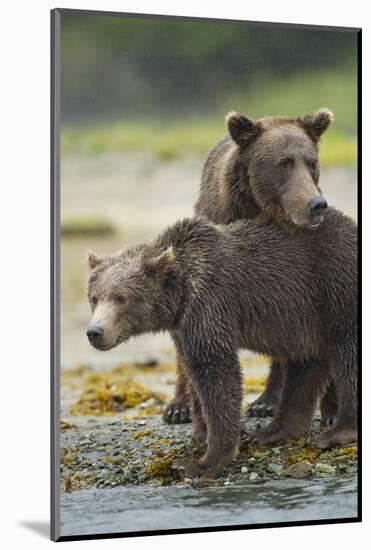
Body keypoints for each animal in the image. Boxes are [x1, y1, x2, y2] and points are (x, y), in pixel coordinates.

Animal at [86, 210, 358, 478]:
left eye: (121, 298)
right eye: (94, 297)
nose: (95, 331)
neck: (180, 294)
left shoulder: (210, 303)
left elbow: (217, 372)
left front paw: (203, 462)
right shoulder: (183, 328)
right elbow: (195, 375)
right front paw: (203, 434)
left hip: (335, 286)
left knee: (347, 355)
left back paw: (337, 431)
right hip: (306, 318)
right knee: (304, 367)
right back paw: (273, 432)